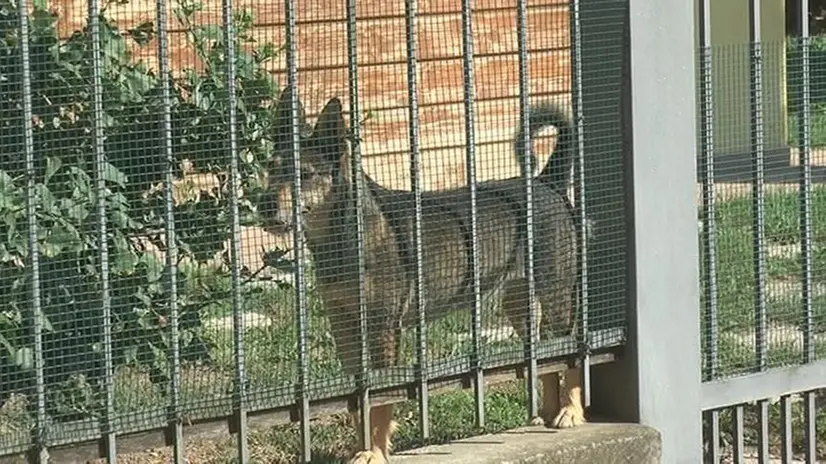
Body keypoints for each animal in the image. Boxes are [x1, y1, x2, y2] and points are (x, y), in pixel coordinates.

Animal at [260, 88, 584, 464]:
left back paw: (570, 413)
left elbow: (378, 402)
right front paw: (361, 447)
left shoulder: (382, 327)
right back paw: (546, 412)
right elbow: (357, 404)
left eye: (307, 175)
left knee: (570, 355)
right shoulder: (344, 328)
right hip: (519, 303)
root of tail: (546, 183)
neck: (346, 236)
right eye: (270, 169)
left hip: (558, 295)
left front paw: (374, 453)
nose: (263, 204)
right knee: (546, 357)